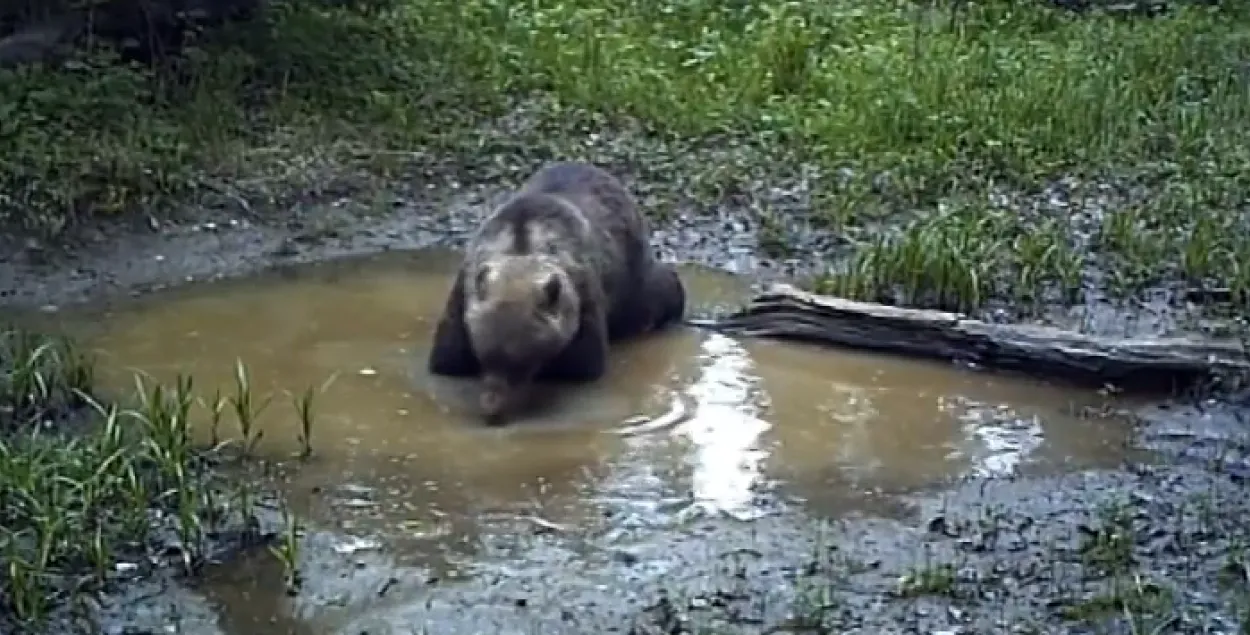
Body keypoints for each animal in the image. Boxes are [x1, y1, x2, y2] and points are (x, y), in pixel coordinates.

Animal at [427, 161, 685, 425]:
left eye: (522, 362)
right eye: (483, 356)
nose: (493, 412)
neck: (521, 250)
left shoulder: (585, 296)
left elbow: (581, 366)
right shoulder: (463, 295)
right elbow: (447, 360)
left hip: (634, 279)